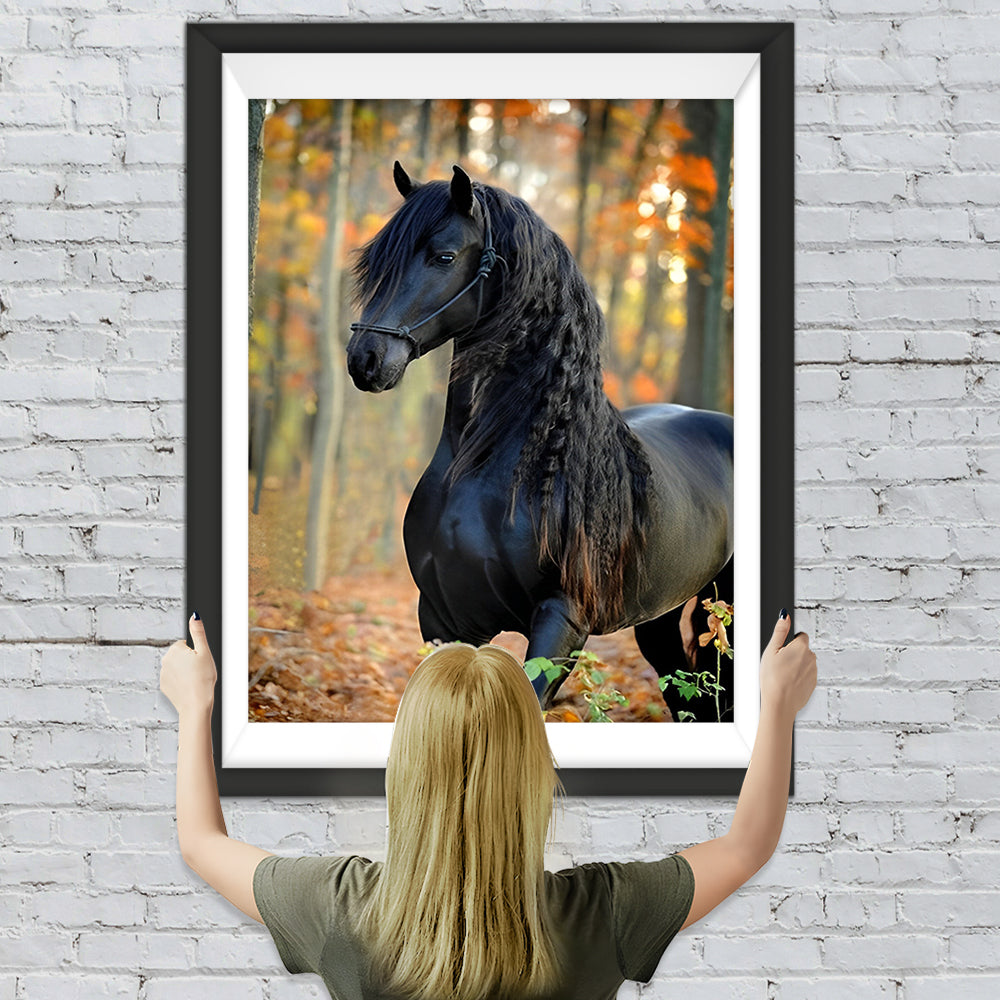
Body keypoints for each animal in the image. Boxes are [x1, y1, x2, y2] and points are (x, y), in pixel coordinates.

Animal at [346, 162, 734, 722]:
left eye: (444, 256)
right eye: (377, 261)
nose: (365, 359)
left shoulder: (562, 620)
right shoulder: (442, 617)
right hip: (658, 619)